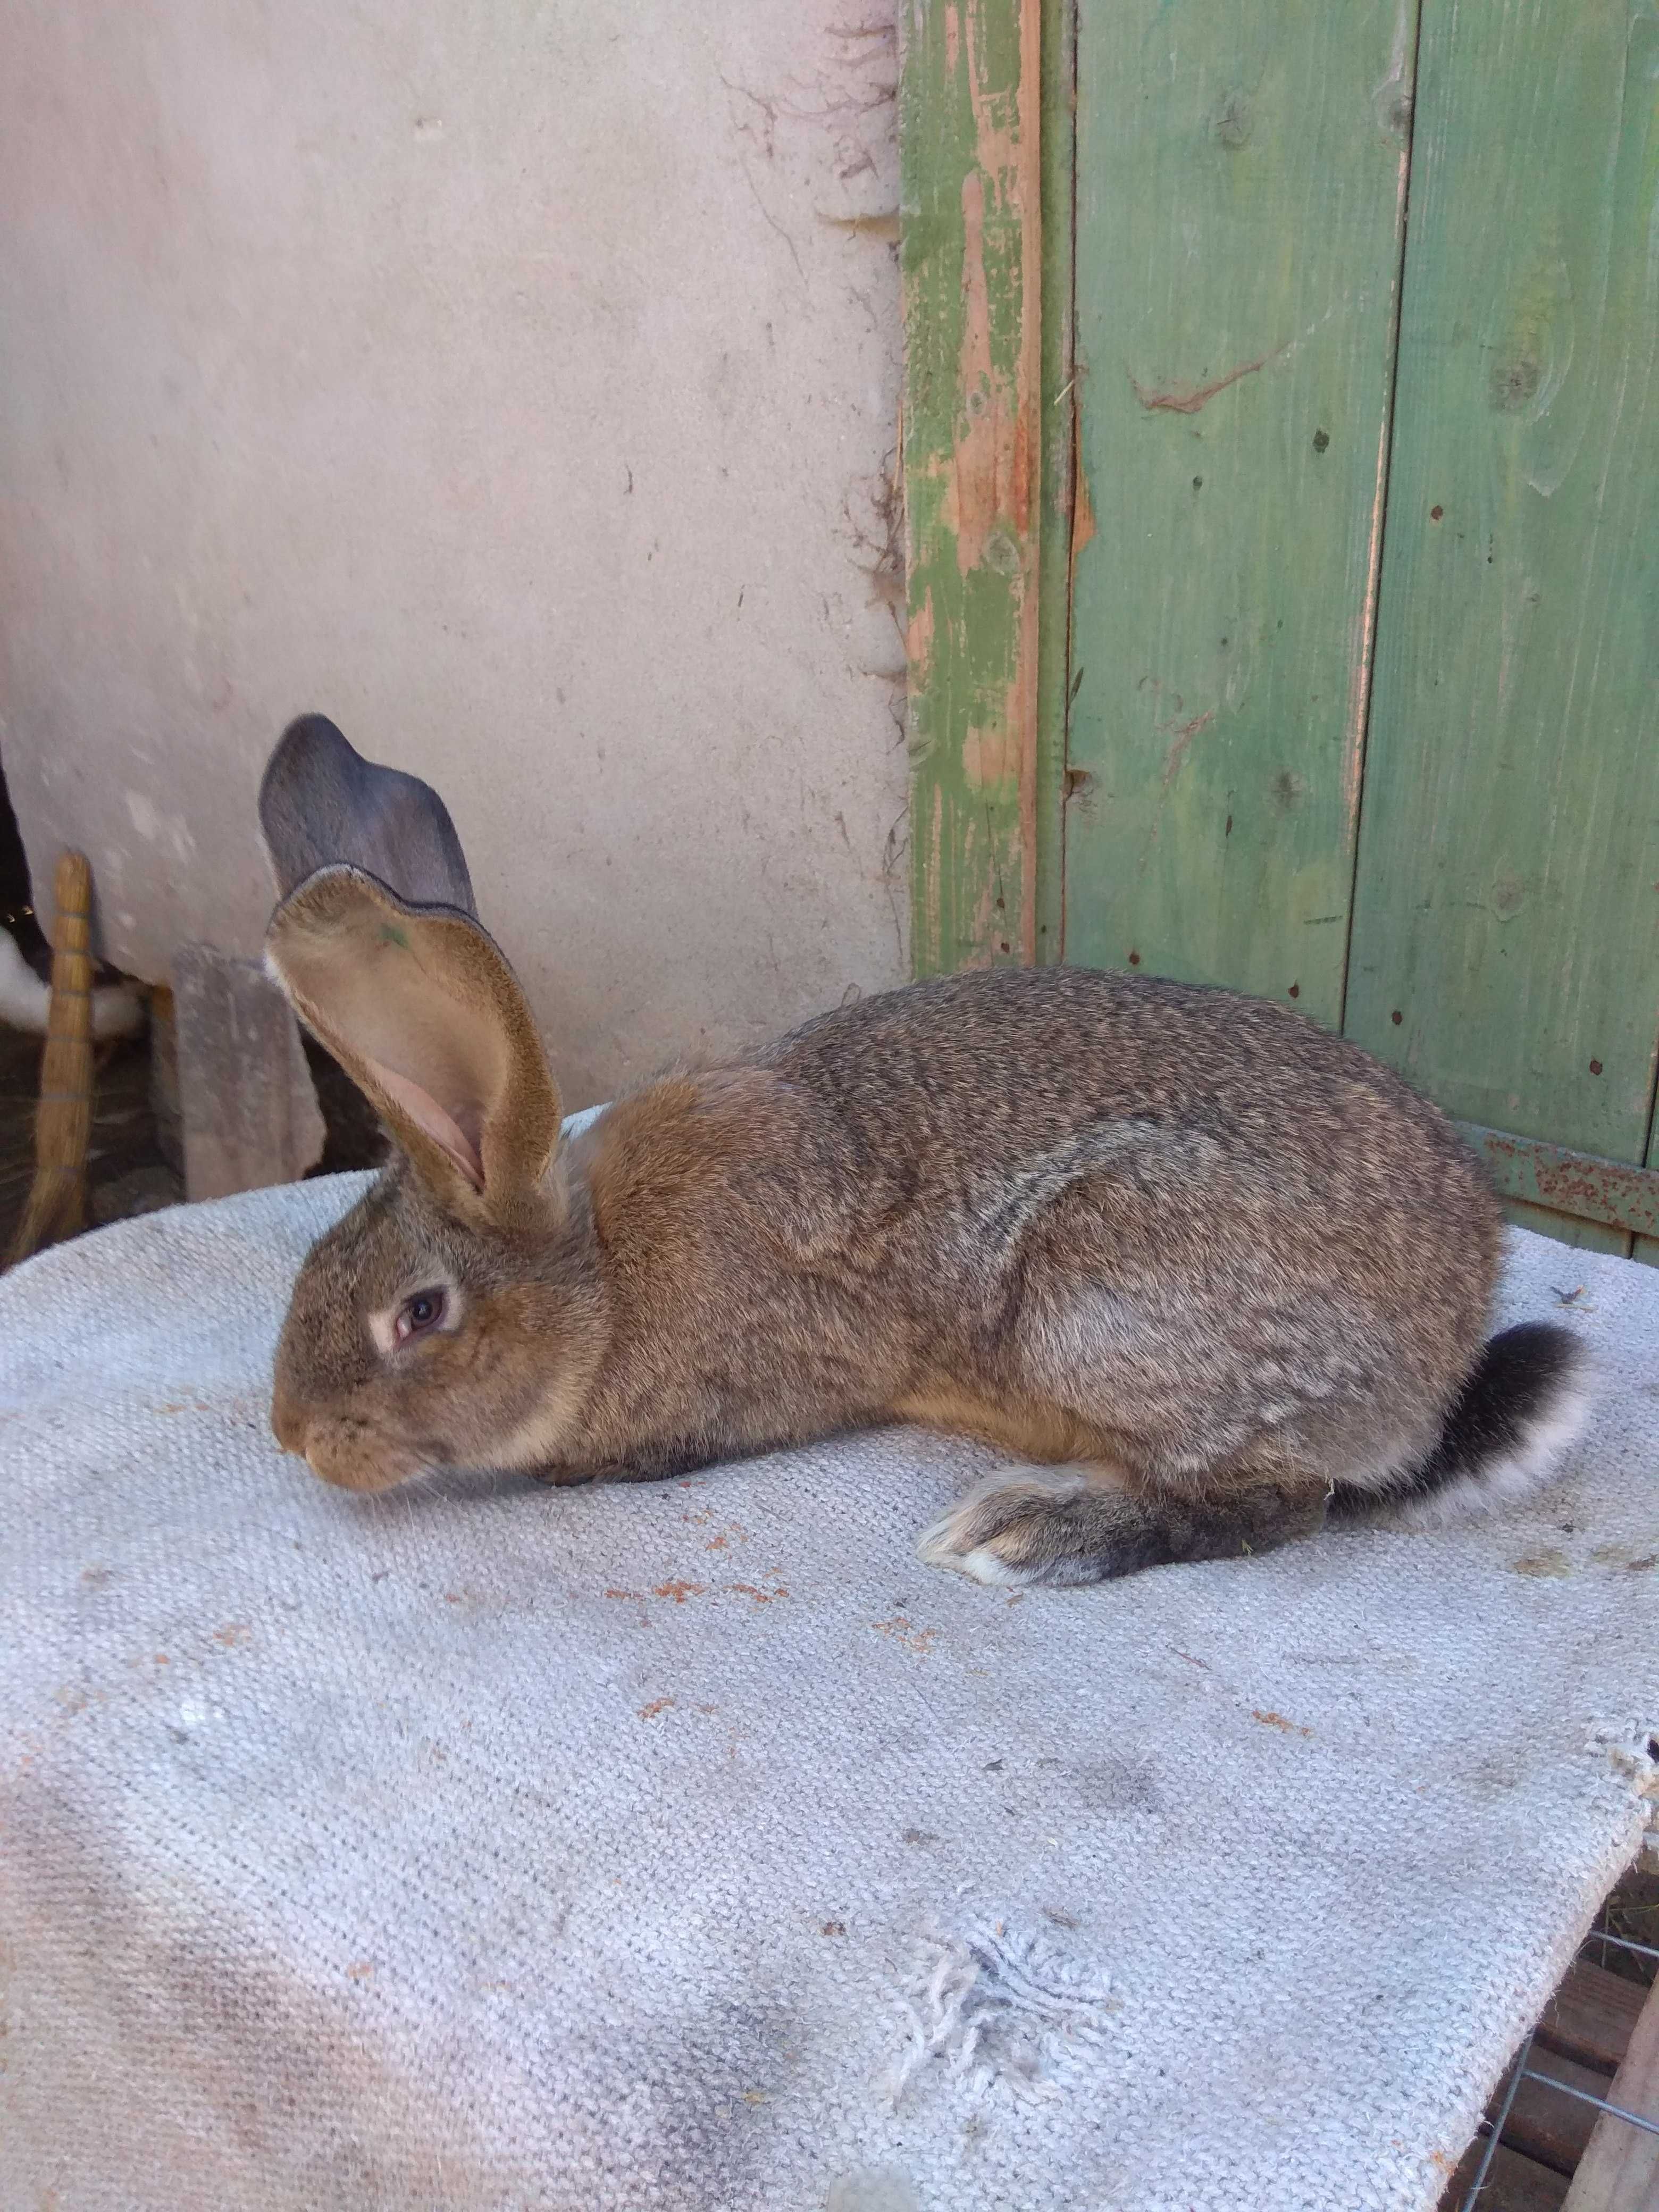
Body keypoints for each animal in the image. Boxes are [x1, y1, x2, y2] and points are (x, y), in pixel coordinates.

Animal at [256, 716, 1601, 1583]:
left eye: (419, 1315)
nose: (294, 1435)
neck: (602, 1277)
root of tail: (1436, 1367)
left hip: (1100, 1296)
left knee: (1278, 1504)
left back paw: (1032, 1535)